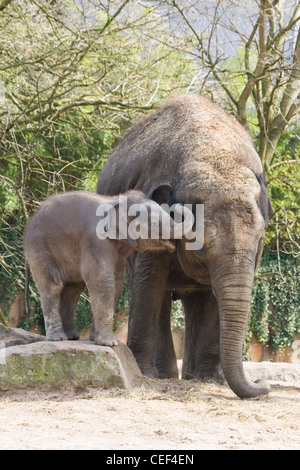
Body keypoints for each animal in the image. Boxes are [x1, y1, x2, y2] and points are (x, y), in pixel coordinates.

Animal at [24, 186, 179, 346]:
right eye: (154, 223)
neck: (118, 202)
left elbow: (116, 283)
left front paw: (95, 339)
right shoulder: (96, 241)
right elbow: (103, 281)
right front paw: (109, 343)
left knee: (72, 290)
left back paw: (71, 337)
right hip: (39, 248)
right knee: (53, 286)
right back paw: (59, 339)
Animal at [97, 94, 274, 396]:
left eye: (261, 235)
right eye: (200, 243)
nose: (263, 383)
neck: (214, 156)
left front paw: (207, 380)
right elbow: (148, 282)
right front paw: (143, 374)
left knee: (196, 299)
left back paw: (195, 377)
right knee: (155, 293)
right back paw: (163, 375)